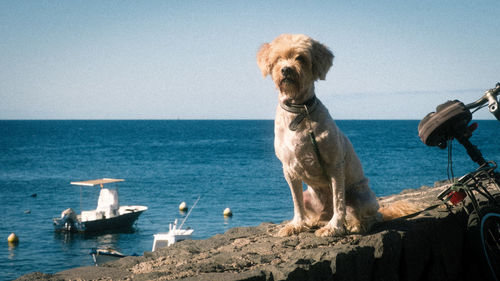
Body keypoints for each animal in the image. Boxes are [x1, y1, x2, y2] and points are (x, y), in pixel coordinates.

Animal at [258, 34, 382, 236]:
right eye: (277, 59)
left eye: (301, 58)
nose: (286, 69)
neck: (300, 111)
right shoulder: (289, 169)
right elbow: (296, 202)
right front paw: (296, 224)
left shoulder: (334, 164)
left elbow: (339, 200)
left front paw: (334, 227)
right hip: (310, 197)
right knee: (318, 211)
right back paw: (315, 221)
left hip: (362, 196)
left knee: (372, 215)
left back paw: (356, 224)